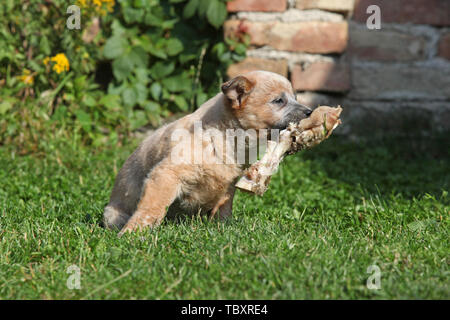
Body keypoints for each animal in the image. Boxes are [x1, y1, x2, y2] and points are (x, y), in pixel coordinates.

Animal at [103, 70, 312, 235]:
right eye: (278, 101)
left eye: (295, 97)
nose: (310, 112)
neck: (225, 137)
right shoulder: (166, 174)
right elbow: (152, 207)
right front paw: (134, 232)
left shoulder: (228, 184)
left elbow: (224, 207)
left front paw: (224, 227)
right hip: (112, 214)